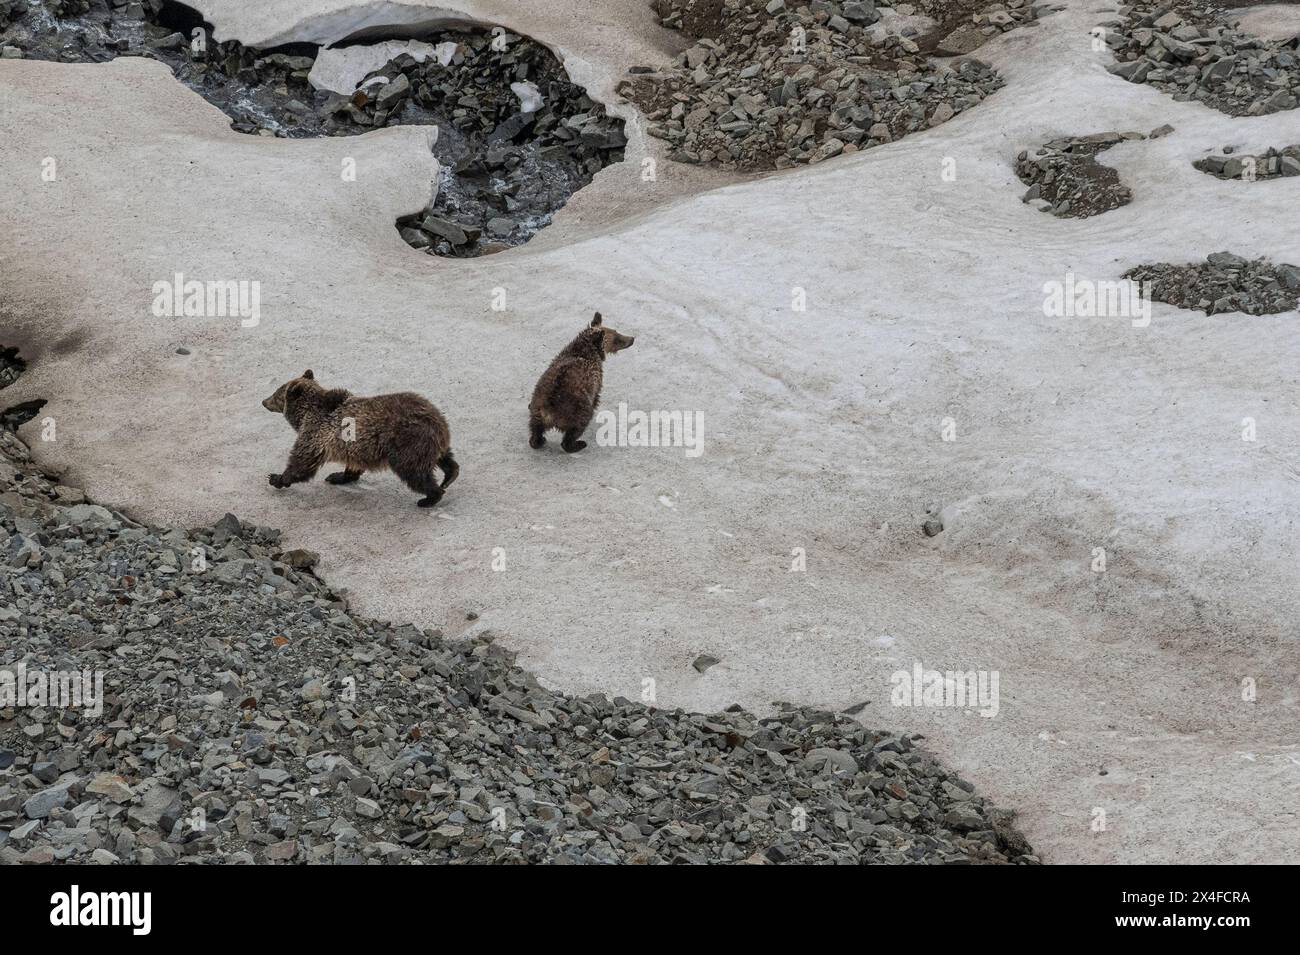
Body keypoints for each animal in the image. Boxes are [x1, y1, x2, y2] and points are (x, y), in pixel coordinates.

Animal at [261, 369, 460, 509]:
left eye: (277, 393)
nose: (263, 401)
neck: (304, 414)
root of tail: (437, 419)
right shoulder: (353, 446)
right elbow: (353, 465)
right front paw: (338, 476)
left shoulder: (316, 433)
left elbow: (302, 461)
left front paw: (276, 477)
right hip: (432, 440)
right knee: (444, 456)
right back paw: (450, 475)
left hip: (406, 442)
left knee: (414, 472)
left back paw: (429, 497)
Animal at [525, 310, 631, 452]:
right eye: (617, 338)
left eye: (616, 331)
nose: (632, 339)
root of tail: (549, 412)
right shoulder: (595, 380)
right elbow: (596, 396)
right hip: (576, 409)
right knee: (576, 428)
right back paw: (578, 444)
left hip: (537, 406)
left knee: (535, 428)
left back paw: (539, 440)